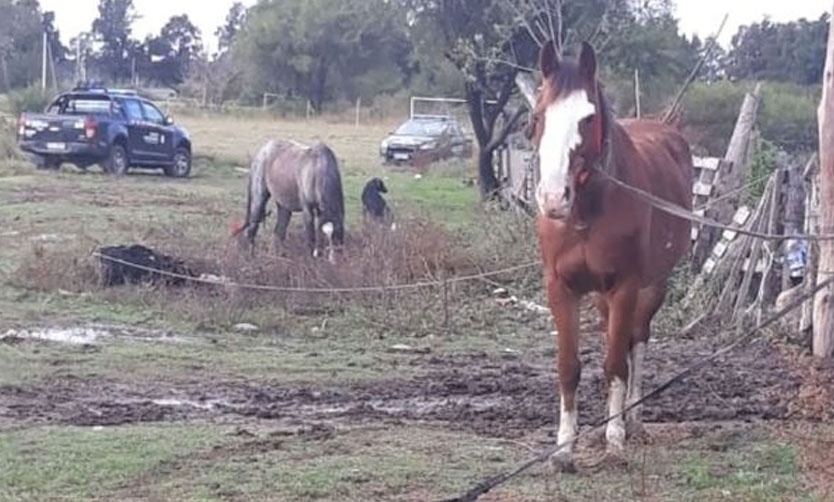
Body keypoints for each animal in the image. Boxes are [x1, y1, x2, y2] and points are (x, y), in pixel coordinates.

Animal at [528, 41, 692, 468]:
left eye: (587, 118)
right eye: (538, 114)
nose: (553, 198)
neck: (586, 212)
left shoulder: (625, 287)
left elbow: (616, 363)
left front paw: (614, 437)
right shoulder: (561, 289)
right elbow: (569, 367)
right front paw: (563, 447)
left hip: (652, 288)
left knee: (637, 343)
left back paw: (632, 422)